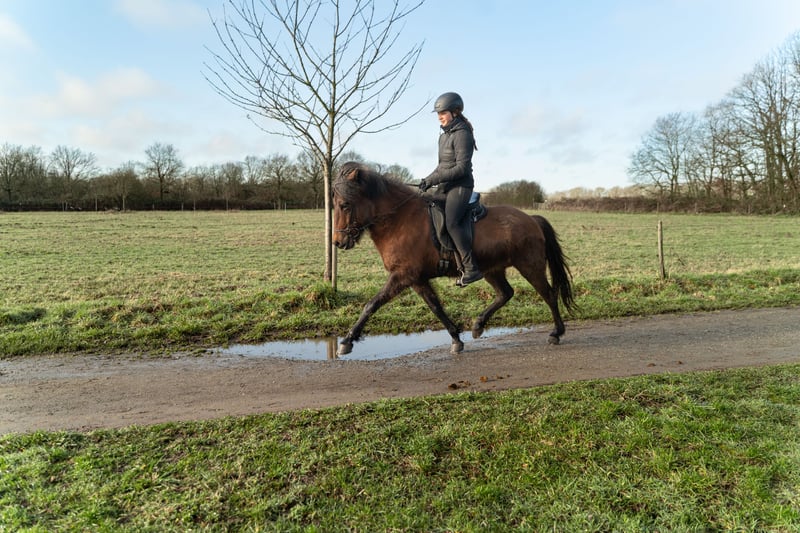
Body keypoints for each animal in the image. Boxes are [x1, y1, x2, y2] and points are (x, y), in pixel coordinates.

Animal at [332, 161, 575, 356]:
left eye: (345, 204)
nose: (337, 242)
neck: (399, 219)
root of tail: (531, 219)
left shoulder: (402, 275)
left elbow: (372, 304)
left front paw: (347, 340)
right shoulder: (416, 279)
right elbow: (436, 306)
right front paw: (456, 339)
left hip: (530, 266)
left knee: (549, 295)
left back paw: (556, 333)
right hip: (492, 270)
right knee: (505, 293)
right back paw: (478, 325)